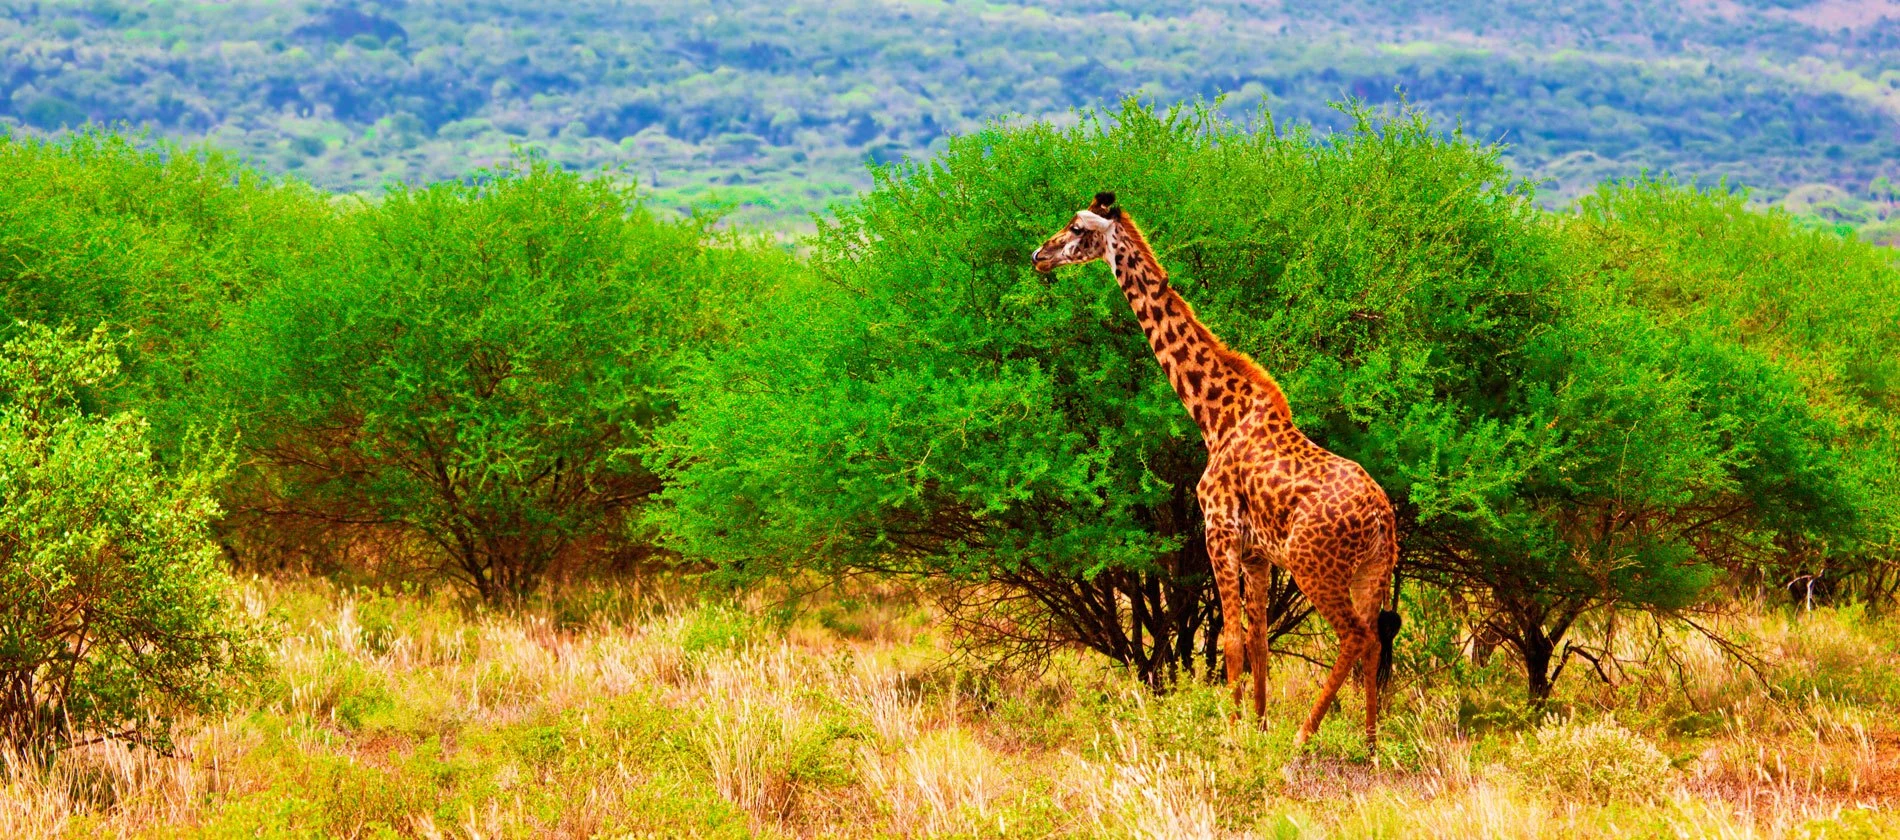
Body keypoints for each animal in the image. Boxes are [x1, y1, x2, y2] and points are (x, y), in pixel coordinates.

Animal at [1031, 192, 1402, 749]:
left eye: (1077, 228)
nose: (1040, 255)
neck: (1214, 416)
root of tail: (1383, 519)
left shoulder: (1219, 532)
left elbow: (1228, 641)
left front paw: (1231, 736)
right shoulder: (1257, 554)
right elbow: (1259, 642)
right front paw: (1259, 728)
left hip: (1315, 567)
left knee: (1354, 636)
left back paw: (1305, 736)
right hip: (1371, 572)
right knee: (1376, 639)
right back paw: (1370, 743)